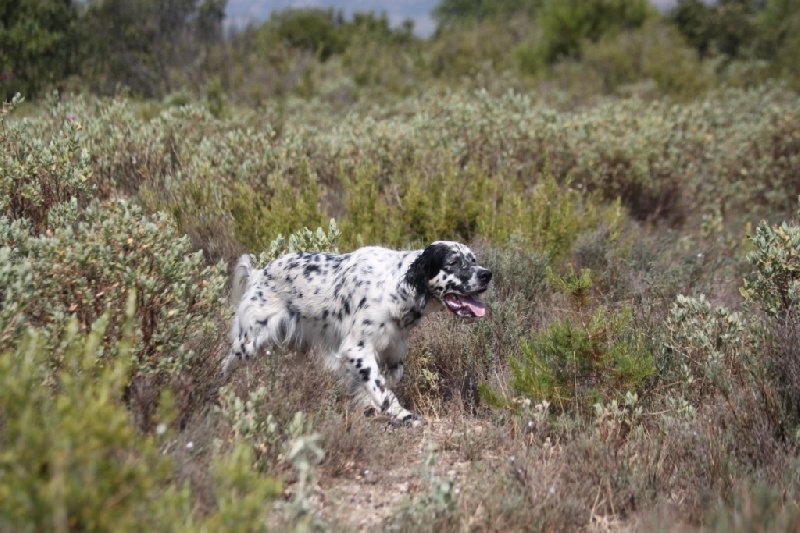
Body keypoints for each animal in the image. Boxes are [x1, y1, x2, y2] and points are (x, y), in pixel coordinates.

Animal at [222, 240, 490, 424]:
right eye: (453, 262)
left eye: (473, 259)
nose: (487, 274)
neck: (394, 289)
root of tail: (259, 274)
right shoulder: (357, 350)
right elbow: (382, 390)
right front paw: (403, 415)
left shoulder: (393, 350)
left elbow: (388, 380)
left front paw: (365, 399)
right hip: (249, 342)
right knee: (227, 363)